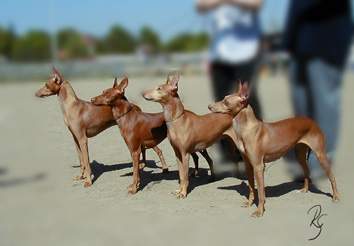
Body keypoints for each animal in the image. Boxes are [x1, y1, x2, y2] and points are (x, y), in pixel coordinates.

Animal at [209, 81, 338, 217]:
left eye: (226, 101)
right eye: (223, 98)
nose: (209, 106)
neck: (247, 129)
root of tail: (311, 120)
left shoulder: (258, 166)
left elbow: (261, 192)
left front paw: (259, 211)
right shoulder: (249, 165)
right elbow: (251, 188)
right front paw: (249, 203)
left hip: (320, 155)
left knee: (331, 175)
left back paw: (336, 196)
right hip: (300, 154)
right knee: (307, 171)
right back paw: (305, 189)